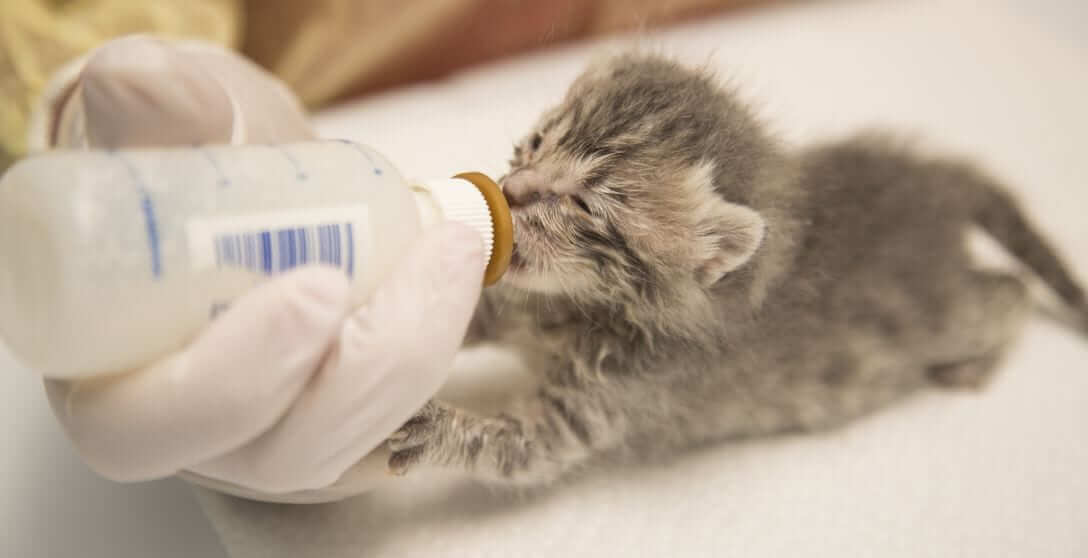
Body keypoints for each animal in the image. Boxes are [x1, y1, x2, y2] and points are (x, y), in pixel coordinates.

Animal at [382, 53, 1079, 487]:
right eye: (533, 145)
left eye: (585, 205)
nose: (511, 188)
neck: (577, 307)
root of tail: (940, 182)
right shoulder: (523, 300)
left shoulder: (597, 408)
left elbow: (512, 448)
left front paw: (433, 425)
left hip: (952, 317)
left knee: (1011, 291)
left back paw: (975, 362)